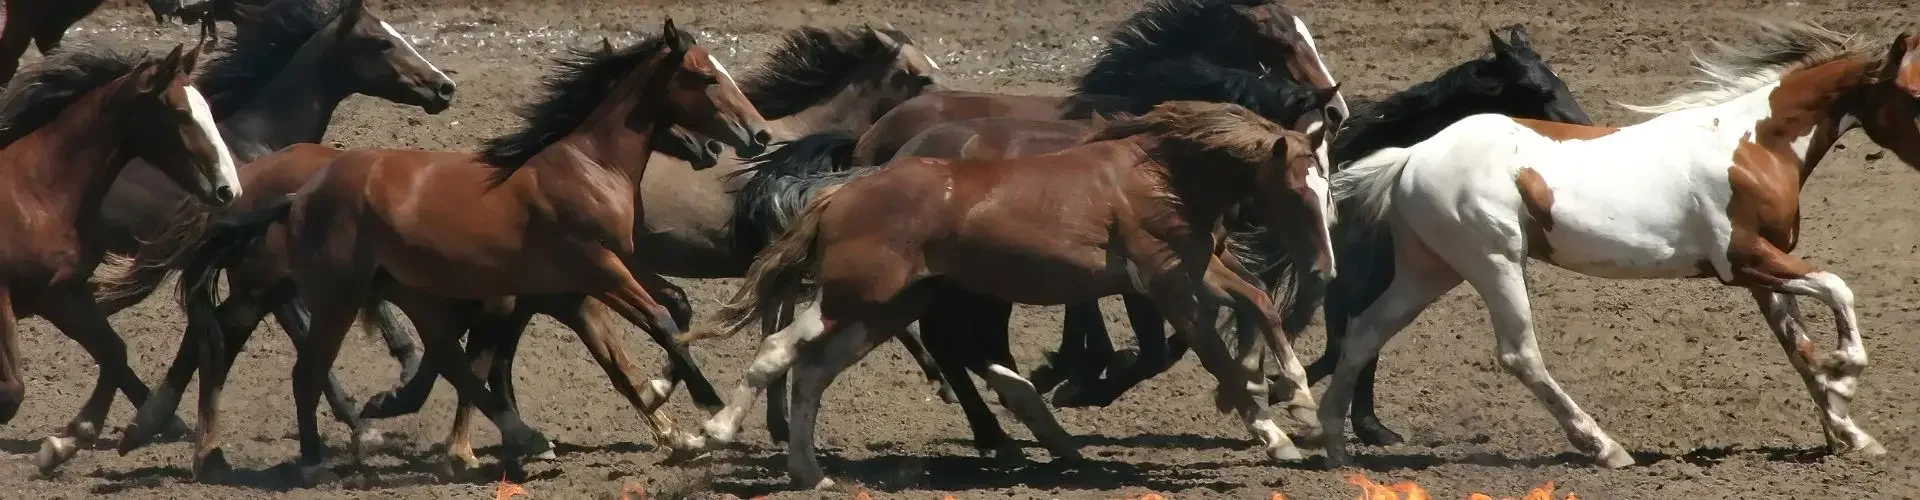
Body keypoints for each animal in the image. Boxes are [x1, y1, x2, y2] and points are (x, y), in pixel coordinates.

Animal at [0, 42, 238, 478]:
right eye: (181, 113)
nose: (229, 188)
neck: (37, 193)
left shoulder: (60, 294)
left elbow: (113, 351)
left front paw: (64, 443)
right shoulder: (5, 295)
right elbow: (13, 390)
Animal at [165, 19, 770, 483]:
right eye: (705, 76)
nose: (756, 134)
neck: (587, 168)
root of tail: (299, 195)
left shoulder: (593, 278)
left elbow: (648, 332)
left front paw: (672, 418)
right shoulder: (596, 270)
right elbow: (660, 324)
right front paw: (708, 409)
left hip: (387, 290)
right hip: (332, 294)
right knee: (296, 366)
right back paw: (307, 460)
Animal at [670, 101, 1336, 488]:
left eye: (1326, 186)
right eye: (1296, 191)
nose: (1326, 268)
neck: (1157, 175)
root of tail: (844, 190)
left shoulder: (1198, 268)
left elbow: (1260, 303)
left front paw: (1302, 402)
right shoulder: (1166, 282)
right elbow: (1214, 353)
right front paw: (1277, 435)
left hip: (886, 307)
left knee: (810, 367)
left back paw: (807, 471)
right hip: (854, 298)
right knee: (780, 352)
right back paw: (707, 438)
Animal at [1319, 21, 1920, 468]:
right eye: (1912, 96)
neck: (1751, 146)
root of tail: (1410, 156)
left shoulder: (1761, 272)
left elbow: (1798, 348)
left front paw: (1851, 434)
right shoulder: (1741, 259)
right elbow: (1838, 288)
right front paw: (1845, 374)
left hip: (1431, 269)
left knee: (1365, 330)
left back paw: (1330, 443)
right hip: (1494, 262)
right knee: (1520, 355)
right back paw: (1604, 447)